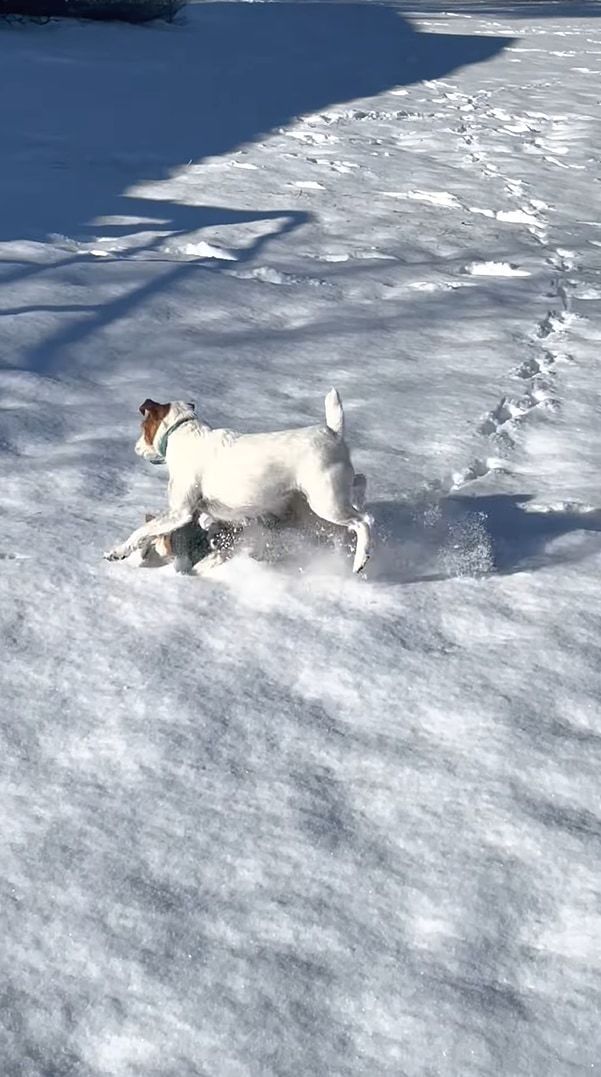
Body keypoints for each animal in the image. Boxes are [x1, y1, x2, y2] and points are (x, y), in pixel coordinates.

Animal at [107, 387, 372, 572]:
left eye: (142, 427)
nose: (135, 447)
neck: (185, 433)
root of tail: (332, 432)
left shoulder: (179, 512)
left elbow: (142, 531)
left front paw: (117, 551)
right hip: (328, 493)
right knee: (361, 481)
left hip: (325, 502)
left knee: (363, 521)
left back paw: (360, 558)